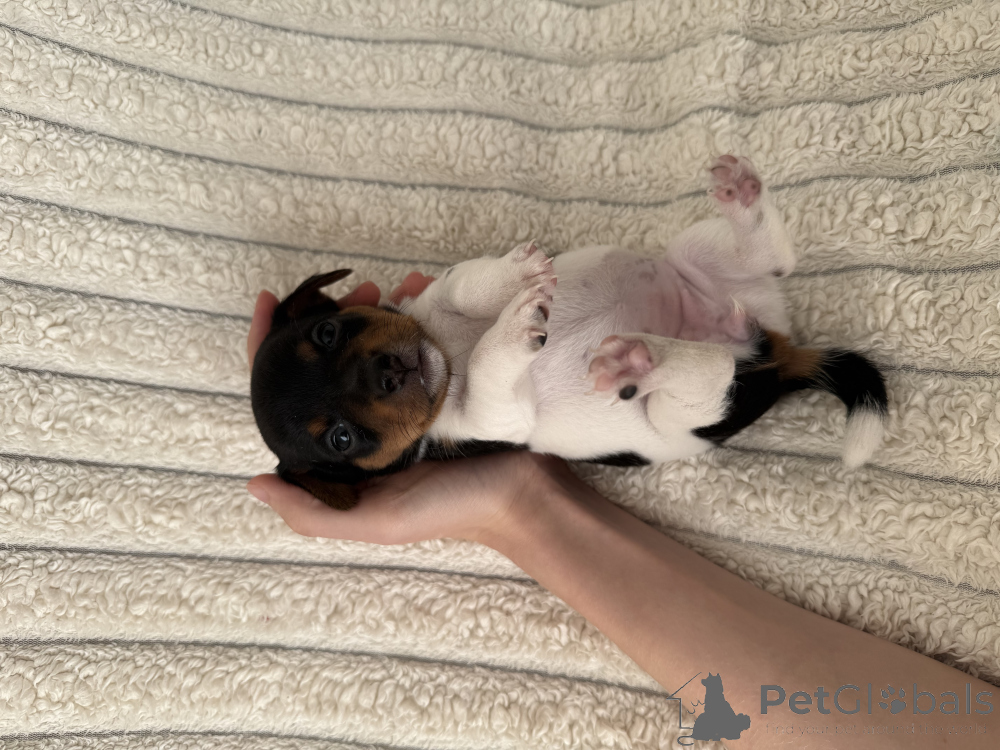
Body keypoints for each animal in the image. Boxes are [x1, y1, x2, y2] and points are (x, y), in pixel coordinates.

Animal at [251, 156, 888, 509]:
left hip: (701, 257)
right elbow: (490, 368)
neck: (448, 354)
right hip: (687, 415)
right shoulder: (493, 421)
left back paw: (743, 195)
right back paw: (637, 358)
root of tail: (773, 346)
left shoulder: (434, 298)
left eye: (328, 333)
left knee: (772, 255)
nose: (389, 369)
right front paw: (513, 325)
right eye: (341, 439)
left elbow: (463, 283)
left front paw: (512, 279)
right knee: (710, 374)